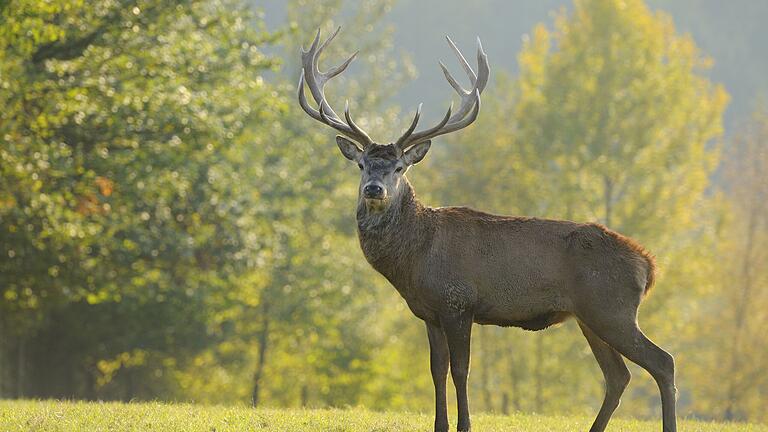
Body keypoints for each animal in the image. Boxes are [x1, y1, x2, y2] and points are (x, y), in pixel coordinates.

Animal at [296, 27, 676, 432]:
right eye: (362, 165)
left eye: (400, 167)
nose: (374, 189)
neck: (416, 260)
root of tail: (649, 265)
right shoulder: (430, 312)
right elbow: (436, 371)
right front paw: (440, 425)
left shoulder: (459, 301)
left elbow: (461, 370)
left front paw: (464, 424)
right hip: (591, 317)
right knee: (618, 375)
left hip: (612, 308)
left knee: (662, 362)